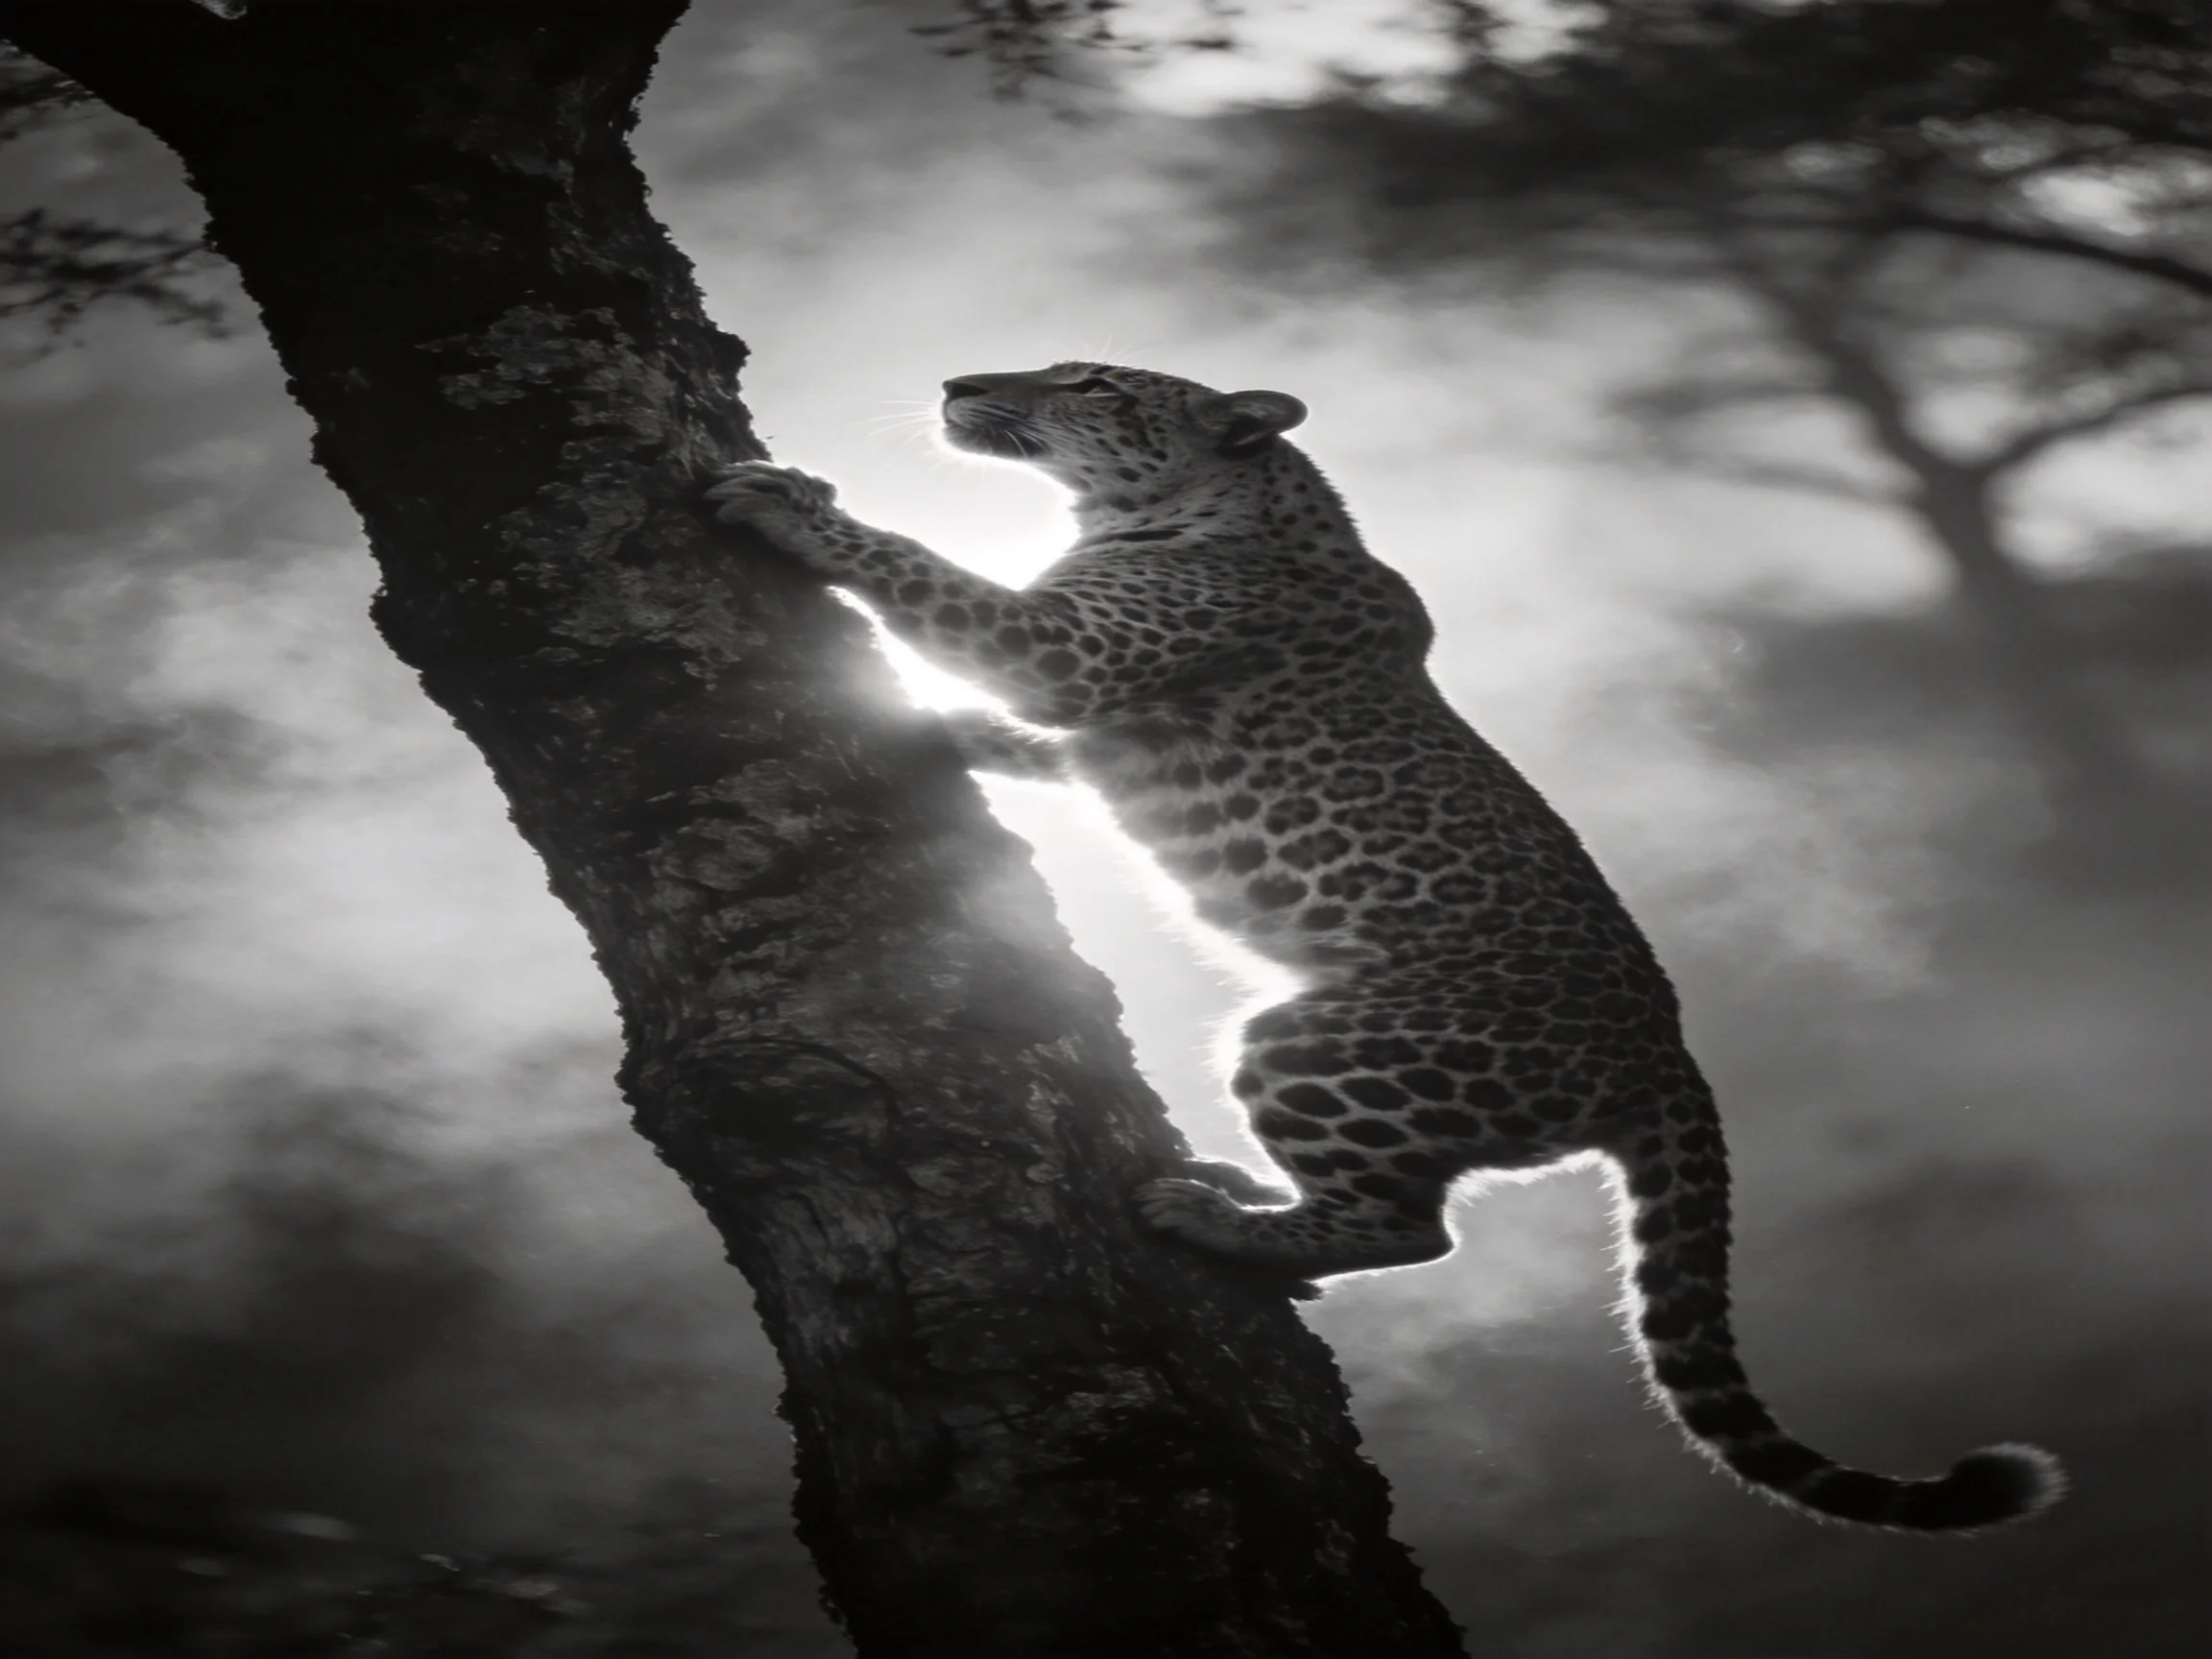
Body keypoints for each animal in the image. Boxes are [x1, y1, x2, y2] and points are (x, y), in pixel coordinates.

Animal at [706, 360, 2062, 1531]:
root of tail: (1669, 1061)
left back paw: (1219, 1219)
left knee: (1418, 1228)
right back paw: (1239, 1190)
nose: (956, 382)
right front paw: (939, 732)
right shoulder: (1088, 705)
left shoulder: (1071, 652)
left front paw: (795, 507)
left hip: (1318, 1038)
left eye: (1089, 381)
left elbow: (939, 582)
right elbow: (1037, 740)